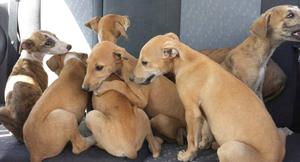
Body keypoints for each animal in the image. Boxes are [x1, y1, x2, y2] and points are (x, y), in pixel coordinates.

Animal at [131, 32, 284, 162]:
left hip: (229, 149)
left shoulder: (192, 112)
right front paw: (203, 144)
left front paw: (187, 155)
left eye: (144, 62)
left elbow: (191, 138)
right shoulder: (205, 112)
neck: (186, 62)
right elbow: (206, 130)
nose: (131, 78)